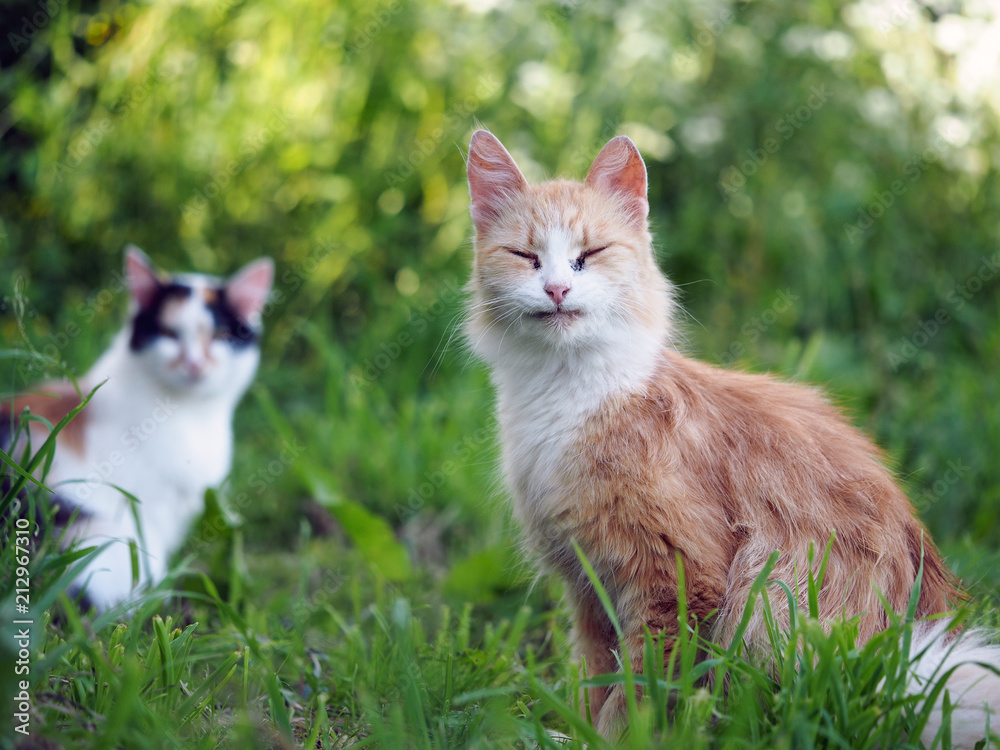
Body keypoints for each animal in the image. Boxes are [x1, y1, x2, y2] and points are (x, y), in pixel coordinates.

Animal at [464, 128, 996, 748]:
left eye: (587, 255)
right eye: (526, 257)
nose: (555, 288)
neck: (565, 397)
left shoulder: (676, 575)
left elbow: (635, 693)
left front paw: (616, 737)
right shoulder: (589, 587)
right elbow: (599, 679)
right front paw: (580, 732)